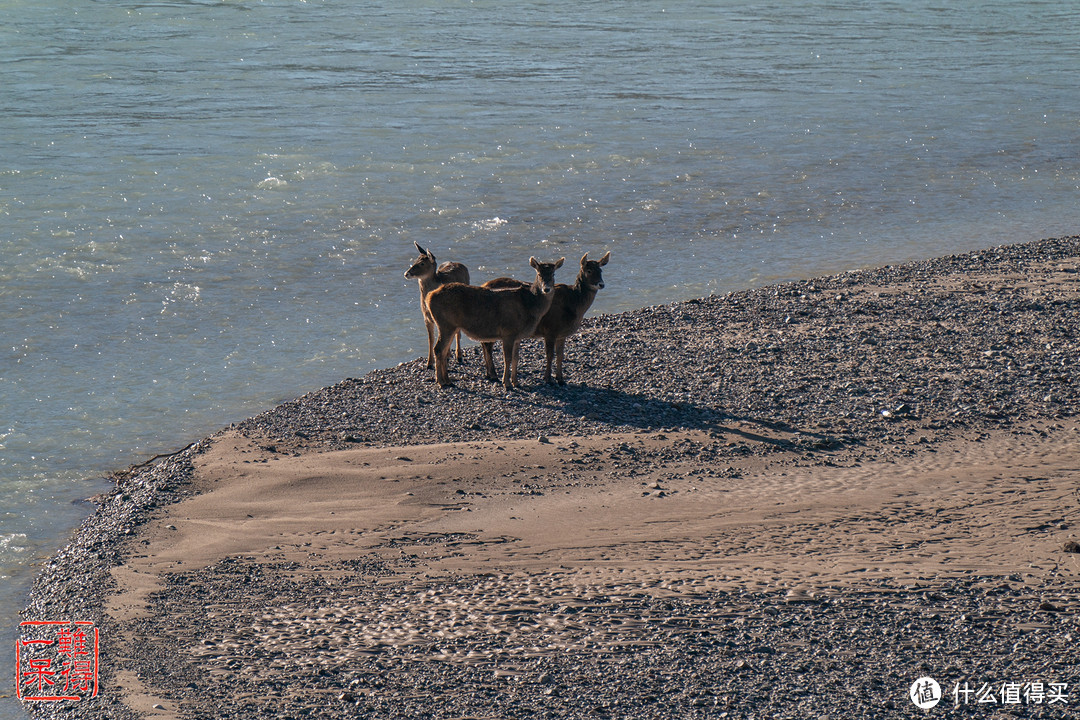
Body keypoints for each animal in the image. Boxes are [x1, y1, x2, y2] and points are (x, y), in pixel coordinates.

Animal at [403, 241, 470, 369]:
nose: (406, 273)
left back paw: (459, 356)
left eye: (422, 263)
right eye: (415, 260)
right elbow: (431, 339)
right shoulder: (426, 317)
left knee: (457, 332)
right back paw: (449, 355)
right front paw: (429, 363)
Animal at [425, 254, 570, 388]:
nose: (546, 289)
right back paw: (441, 381)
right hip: (445, 324)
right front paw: (506, 383)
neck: (529, 306)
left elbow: (516, 358)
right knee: (438, 349)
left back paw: (447, 380)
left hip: (450, 326)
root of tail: (429, 297)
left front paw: (516, 382)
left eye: (553, 273)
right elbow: (507, 358)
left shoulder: (518, 336)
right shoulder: (508, 332)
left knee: (444, 351)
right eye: (539, 273)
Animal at [479, 252, 609, 386]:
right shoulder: (550, 329)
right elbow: (550, 355)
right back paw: (493, 375)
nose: (601, 284)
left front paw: (560, 379)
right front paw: (548, 379)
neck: (575, 306)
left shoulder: (562, 334)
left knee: (484, 343)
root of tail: (482, 284)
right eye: (589, 270)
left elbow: (560, 355)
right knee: (487, 345)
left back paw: (489, 374)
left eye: (601, 270)